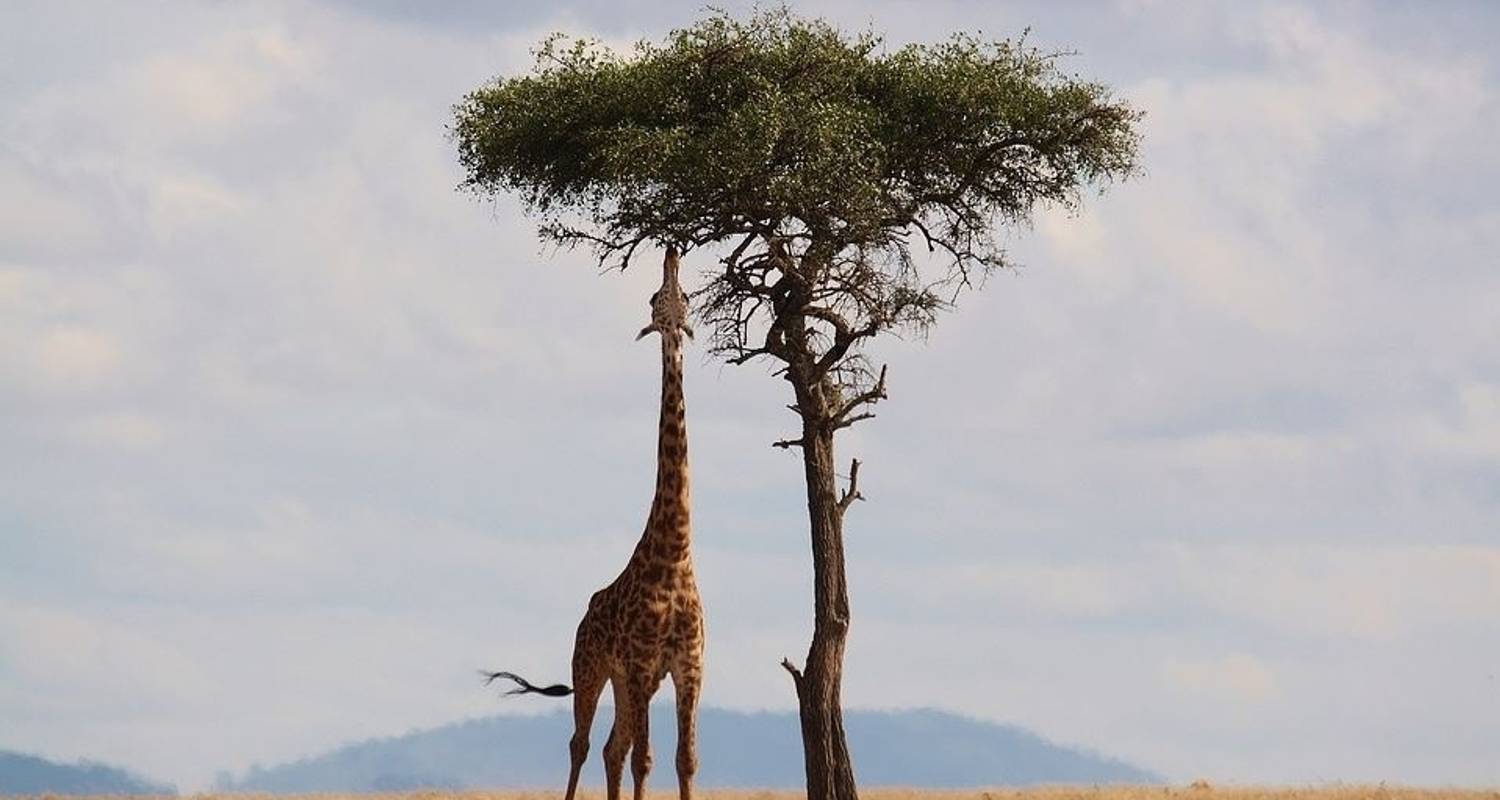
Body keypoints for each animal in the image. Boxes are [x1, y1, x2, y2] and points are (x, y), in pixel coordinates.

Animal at [486, 243, 708, 798]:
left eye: (684, 296)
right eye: (655, 297)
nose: (672, 251)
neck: (675, 555)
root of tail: (584, 615)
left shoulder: (688, 668)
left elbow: (685, 759)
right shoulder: (643, 665)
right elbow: (647, 759)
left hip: (626, 682)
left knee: (612, 748)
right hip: (591, 667)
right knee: (583, 744)